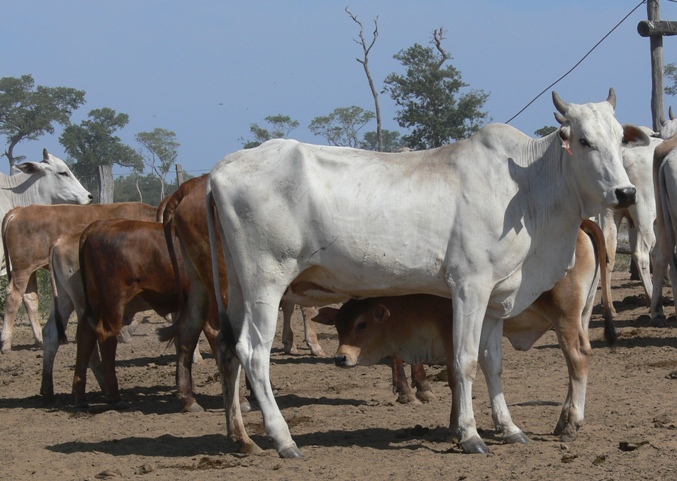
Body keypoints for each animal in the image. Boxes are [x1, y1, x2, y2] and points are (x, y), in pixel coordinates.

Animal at [2, 202, 157, 352]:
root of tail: (18, 210)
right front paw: (126, 331)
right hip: (22, 269)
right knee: (13, 296)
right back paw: (6, 343)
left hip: (31, 271)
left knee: (30, 299)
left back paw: (39, 340)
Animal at [70, 219, 187, 406]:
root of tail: (97, 226)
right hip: (114, 301)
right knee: (106, 336)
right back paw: (114, 396)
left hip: (94, 302)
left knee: (85, 336)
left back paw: (80, 396)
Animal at [160, 176, 326, 412]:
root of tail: (188, 187)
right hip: (225, 283)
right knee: (220, 335)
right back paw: (240, 398)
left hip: (199, 283)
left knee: (188, 328)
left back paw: (189, 398)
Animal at [314, 219, 616, 440]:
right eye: (339, 326)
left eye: (362, 324)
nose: (340, 357)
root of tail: (582, 222)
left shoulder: (450, 332)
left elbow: (454, 379)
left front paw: (454, 426)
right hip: (582, 314)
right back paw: (563, 419)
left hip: (565, 316)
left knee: (578, 358)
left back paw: (571, 422)